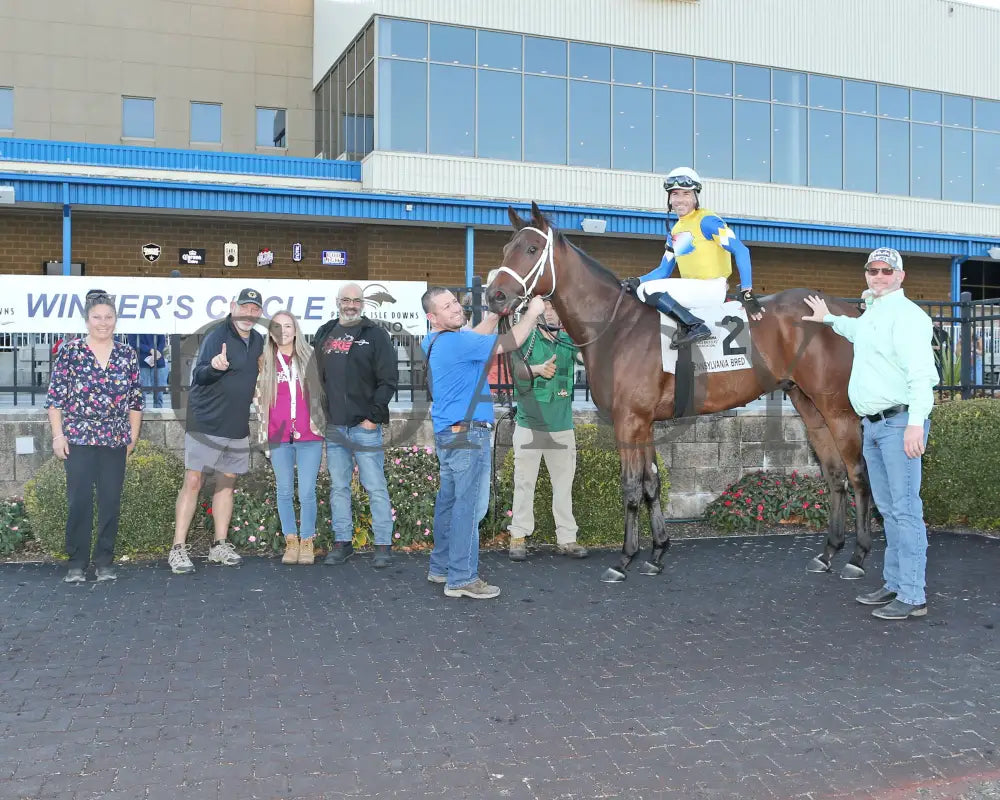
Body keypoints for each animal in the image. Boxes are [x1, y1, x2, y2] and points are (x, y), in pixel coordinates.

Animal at [488, 203, 872, 584]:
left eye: (532, 249)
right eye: (506, 249)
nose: (495, 296)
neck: (617, 327)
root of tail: (850, 310)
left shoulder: (628, 421)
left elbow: (631, 486)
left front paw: (625, 558)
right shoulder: (644, 422)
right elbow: (651, 483)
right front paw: (657, 552)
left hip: (838, 409)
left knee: (857, 473)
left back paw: (858, 555)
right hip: (809, 407)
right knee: (834, 474)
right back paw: (829, 551)